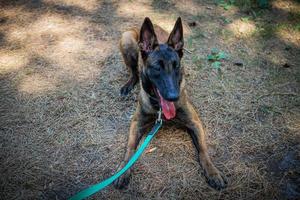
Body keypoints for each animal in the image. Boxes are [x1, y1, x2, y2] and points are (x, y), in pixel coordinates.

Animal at [113, 16, 226, 189]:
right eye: (157, 68)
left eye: (176, 66)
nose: (174, 96)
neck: (160, 109)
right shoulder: (136, 123)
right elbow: (130, 149)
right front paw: (123, 170)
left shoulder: (194, 122)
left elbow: (203, 151)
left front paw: (212, 172)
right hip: (126, 39)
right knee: (134, 72)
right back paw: (128, 85)